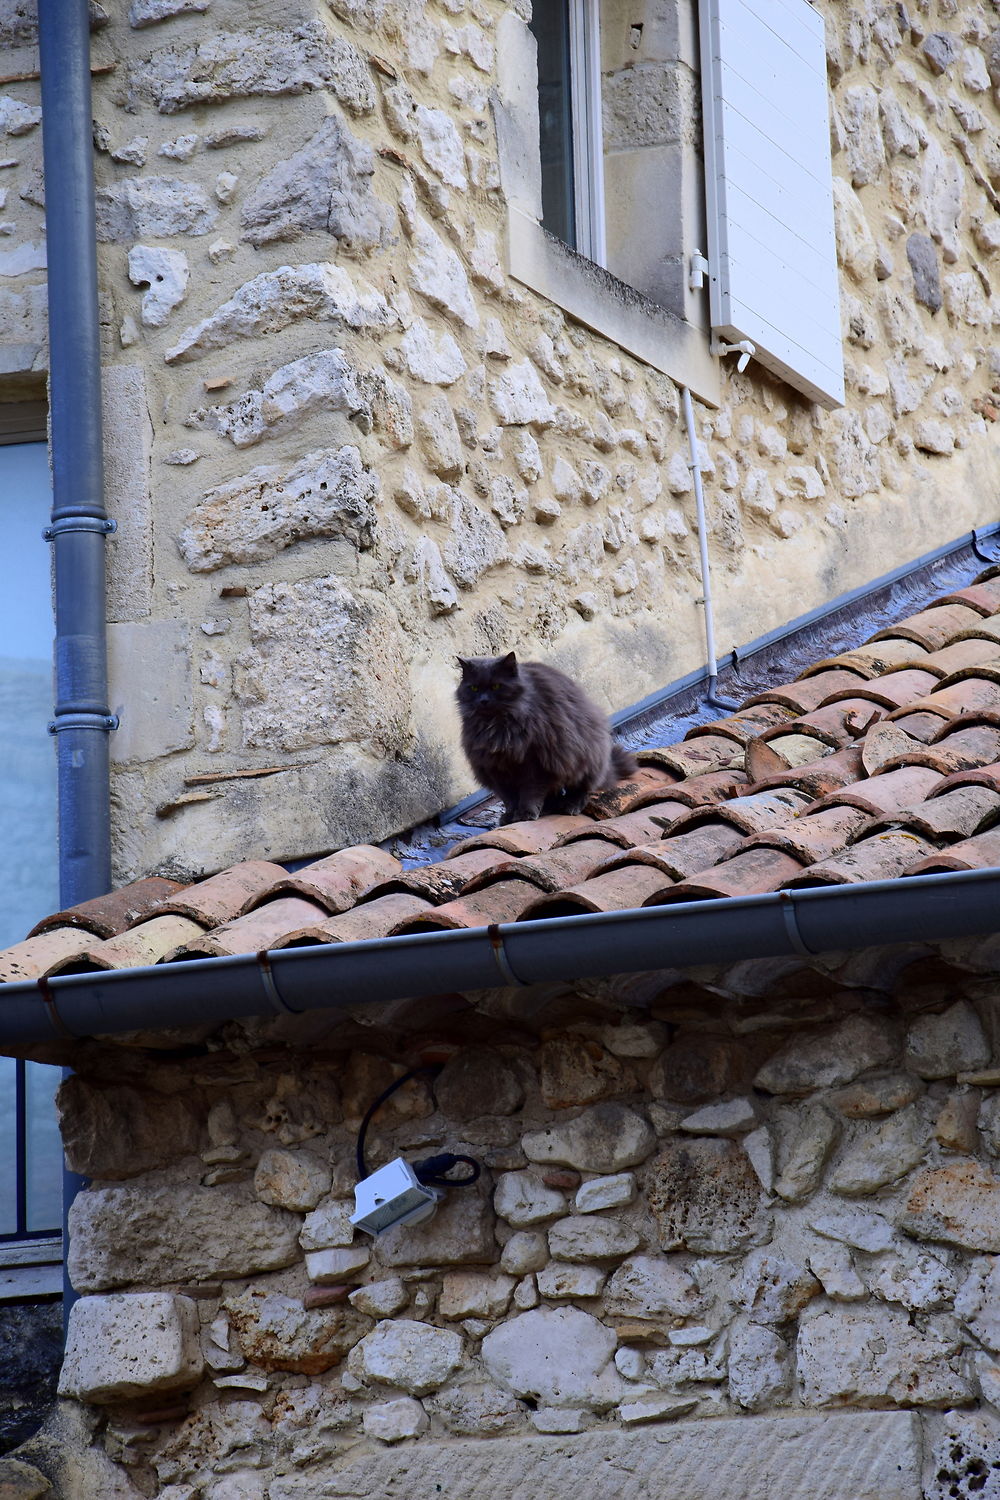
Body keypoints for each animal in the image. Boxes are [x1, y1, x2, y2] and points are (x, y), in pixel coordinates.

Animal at [458, 654, 638, 828]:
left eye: (496, 686)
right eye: (474, 688)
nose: (483, 700)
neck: (497, 726)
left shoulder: (536, 762)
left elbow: (530, 793)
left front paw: (526, 814)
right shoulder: (494, 768)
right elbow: (509, 799)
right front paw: (511, 816)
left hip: (584, 758)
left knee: (582, 788)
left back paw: (570, 806)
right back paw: (548, 807)